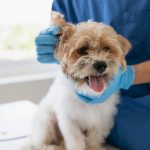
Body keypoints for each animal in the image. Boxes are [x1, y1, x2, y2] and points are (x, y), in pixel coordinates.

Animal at [21, 12, 131, 150]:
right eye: (82, 50)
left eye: (107, 49)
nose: (101, 65)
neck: (88, 95)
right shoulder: (68, 121)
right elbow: (76, 141)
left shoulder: (101, 120)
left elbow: (94, 138)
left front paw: (94, 147)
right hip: (46, 121)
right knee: (40, 143)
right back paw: (51, 146)